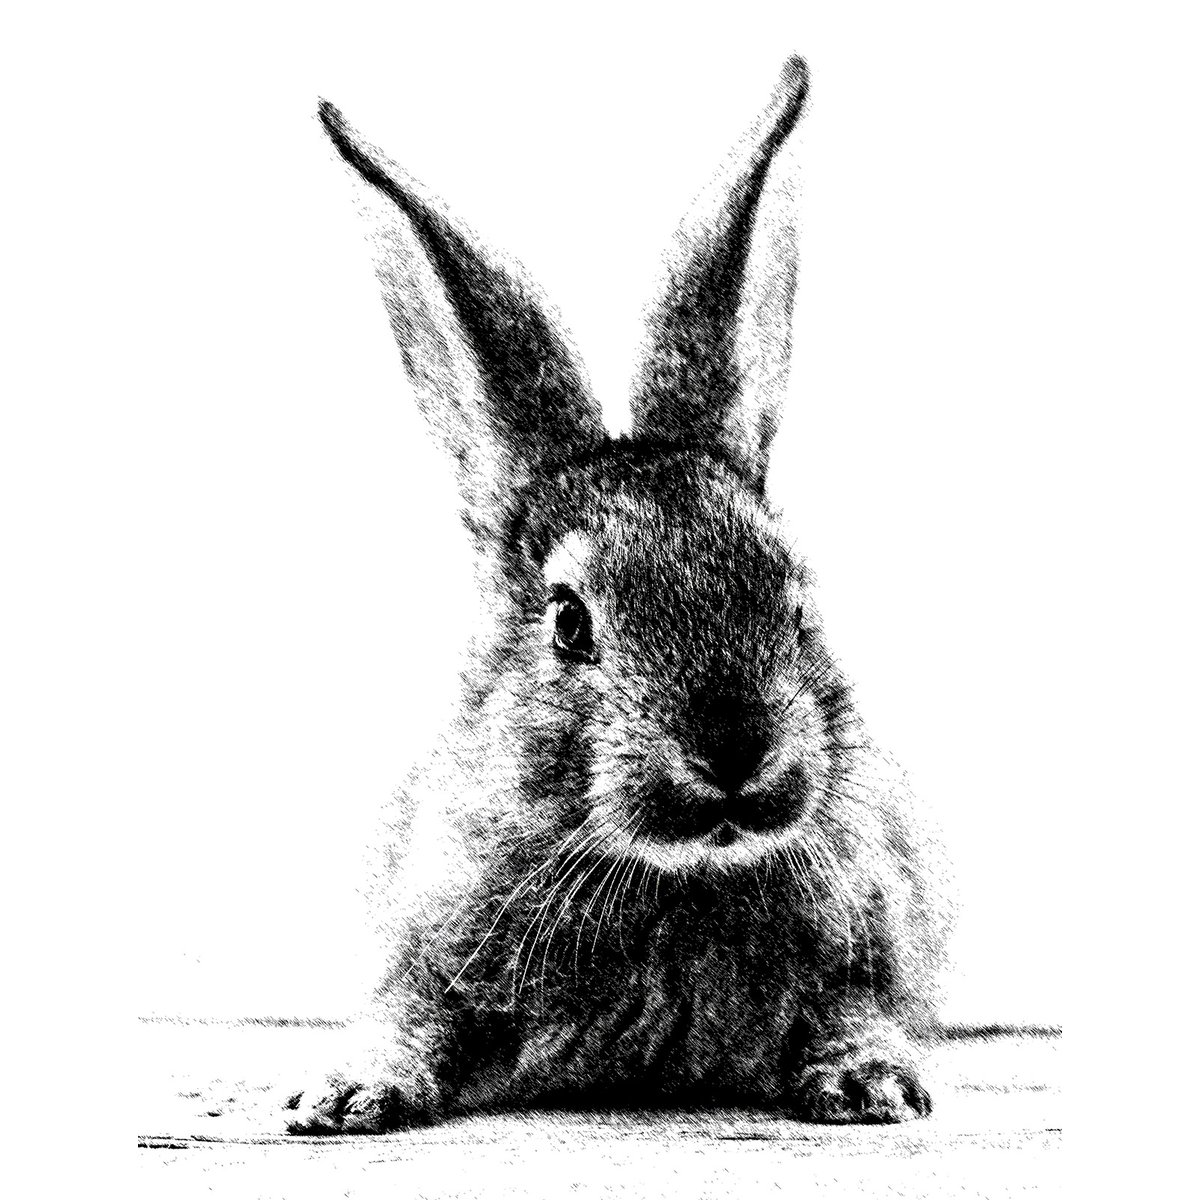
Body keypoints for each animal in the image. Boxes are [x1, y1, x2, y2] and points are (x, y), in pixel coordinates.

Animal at [286, 56, 953, 1135]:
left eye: (797, 603)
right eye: (568, 622)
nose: (734, 749)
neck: (680, 878)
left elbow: (856, 1009)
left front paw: (875, 1084)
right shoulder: (425, 946)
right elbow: (407, 1014)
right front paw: (339, 1093)